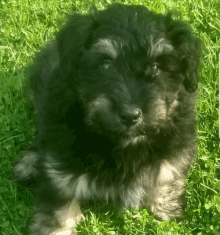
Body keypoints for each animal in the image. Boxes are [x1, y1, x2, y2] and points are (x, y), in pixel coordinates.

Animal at [13, 4, 201, 235]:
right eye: (105, 65)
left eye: (157, 67)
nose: (130, 115)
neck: (122, 143)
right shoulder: (60, 167)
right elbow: (60, 204)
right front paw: (56, 227)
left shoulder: (175, 146)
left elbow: (166, 174)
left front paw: (166, 209)